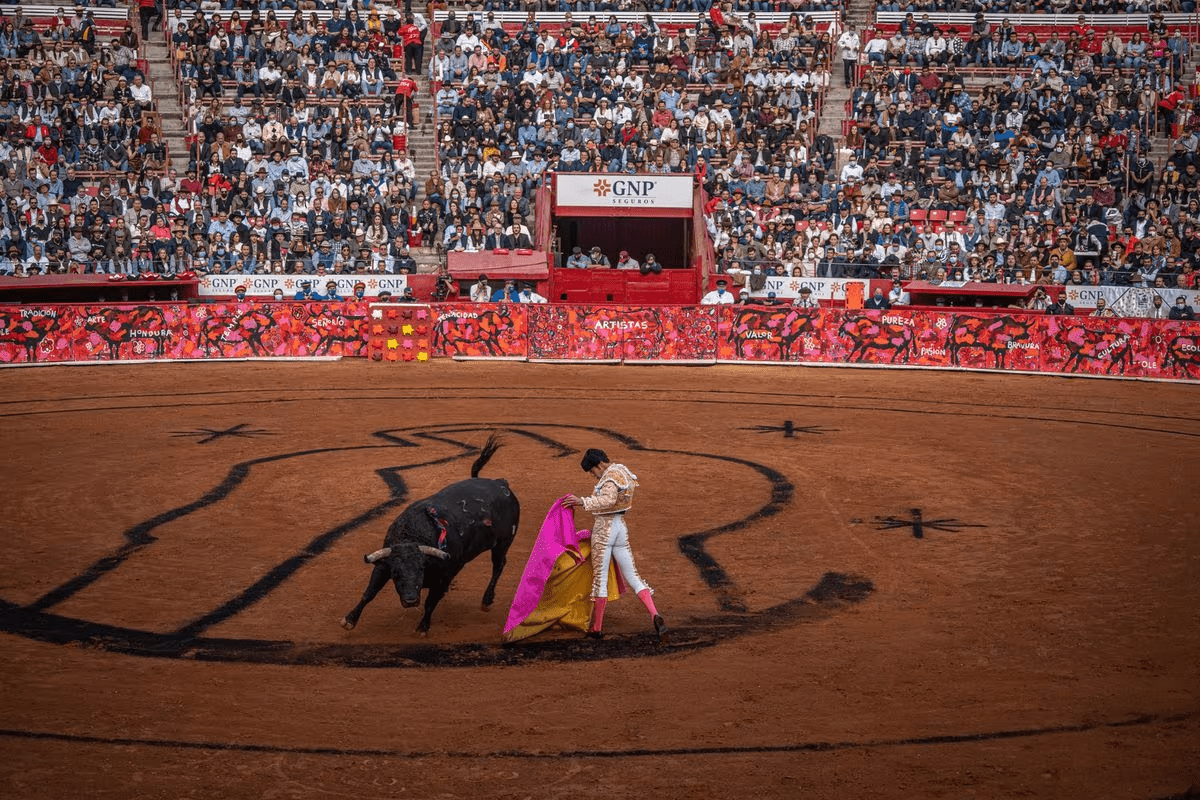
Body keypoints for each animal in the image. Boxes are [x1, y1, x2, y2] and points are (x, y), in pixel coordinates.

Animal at [343, 434, 520, 633]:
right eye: (396, 572)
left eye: (421, 569)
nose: (411, 600)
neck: (414, 533)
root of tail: (500, 483)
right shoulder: (383, 565)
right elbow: (369, 592)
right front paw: (350, 619)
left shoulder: (443, 578)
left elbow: (430, 602)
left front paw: (423, 626)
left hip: (503, 542)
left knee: (498, 565)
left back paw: (487, 600)